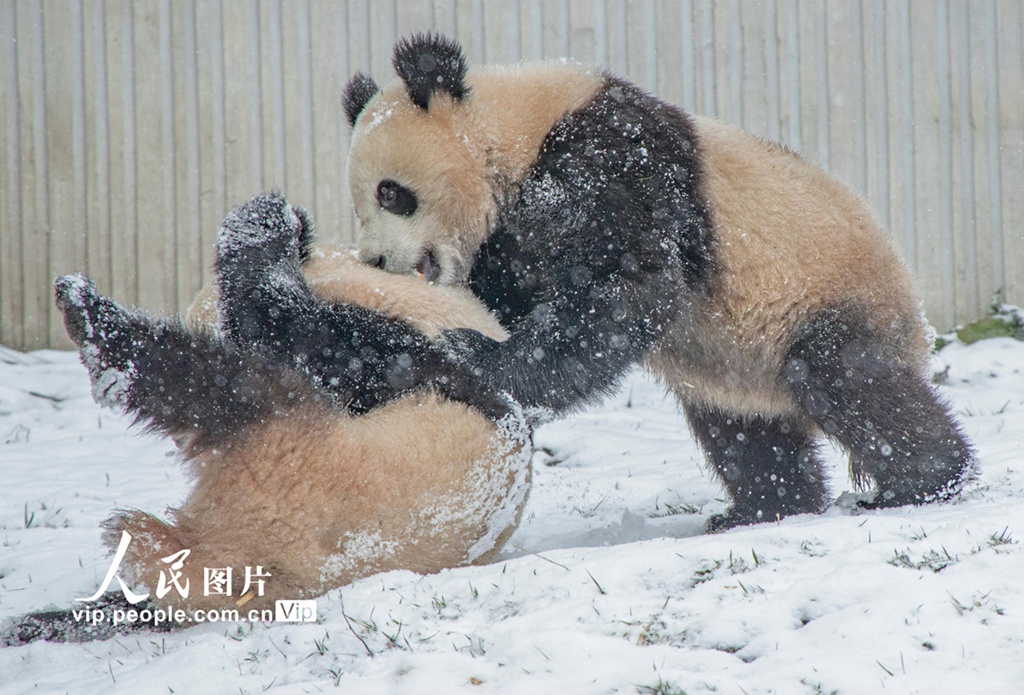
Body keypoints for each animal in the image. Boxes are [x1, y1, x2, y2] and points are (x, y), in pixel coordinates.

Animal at [224, 34, 974, 532]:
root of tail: (916, 321)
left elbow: (624, 283)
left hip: (825, 294)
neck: (512, 131)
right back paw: (763, 508)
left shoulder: (609, 158)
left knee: (848, 380)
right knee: (745, 431)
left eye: (392, 193)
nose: (377, 262)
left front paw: (480, 352)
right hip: (736, 363)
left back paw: (923, 481)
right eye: (361, 205)